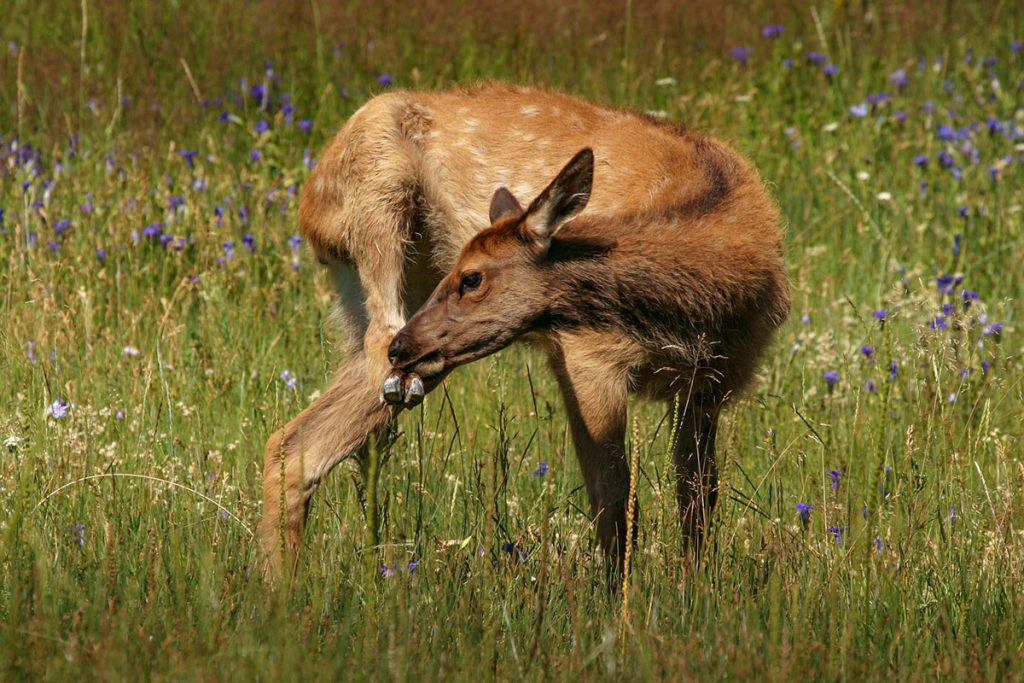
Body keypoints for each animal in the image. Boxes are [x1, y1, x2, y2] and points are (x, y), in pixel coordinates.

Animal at [264, 85, 790, 577]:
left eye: (471, 278)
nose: (407, 346)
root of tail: (308, 209)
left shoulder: (710, 385)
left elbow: (698, 501)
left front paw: (693, 589)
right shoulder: (588, 356)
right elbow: (615, 502)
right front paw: (619, 602)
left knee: (295, 443)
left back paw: (281, 592)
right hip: (379, 207)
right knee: (376, 344)